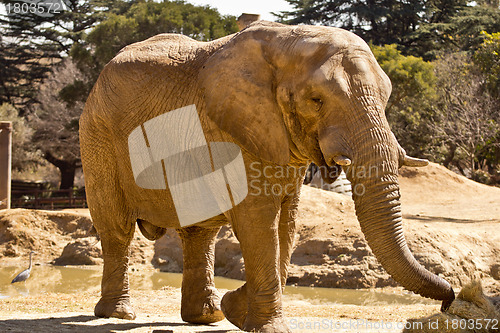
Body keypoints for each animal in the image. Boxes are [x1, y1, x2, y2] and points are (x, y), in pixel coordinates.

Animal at [79, 21, 458, 332]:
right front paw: (265, 325)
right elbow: (258, 219)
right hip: (98, 137)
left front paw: (237, 310)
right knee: (116, 227)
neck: (288, 42)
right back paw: (118, 314)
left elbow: (287, 222)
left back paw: (208, 316)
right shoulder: (234, 127)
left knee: (201, 232)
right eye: (316, 100)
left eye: (387, 96)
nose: (449, 300)